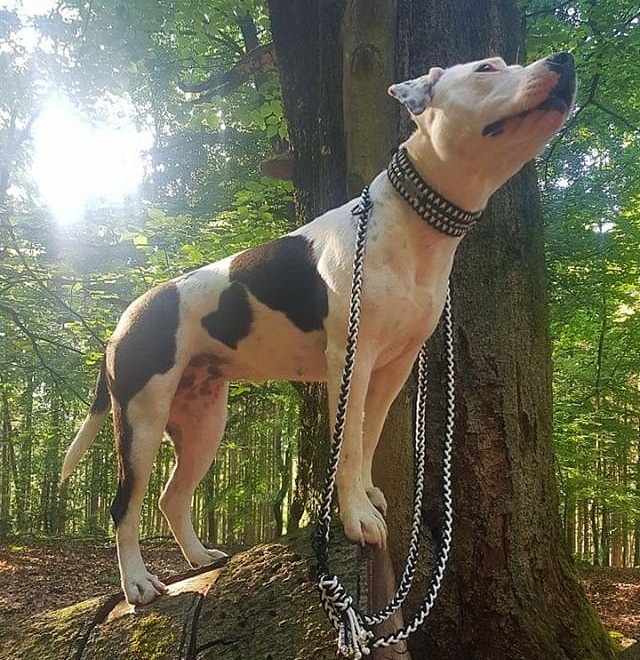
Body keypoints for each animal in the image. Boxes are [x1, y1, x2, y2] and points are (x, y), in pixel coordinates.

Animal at [62, 52, 576, 605]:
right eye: (486, 69)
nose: (561, 59)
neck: (410, 224)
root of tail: (124, 321)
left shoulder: (393, 369)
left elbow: (368, 438)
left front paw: (367, 495)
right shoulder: (350, 359)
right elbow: (347, 445)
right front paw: (357, 517)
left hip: (203, 422)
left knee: (171, 498)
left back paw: (200, 559)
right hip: (142, 418)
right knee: (125, 504)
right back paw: (137, 581)